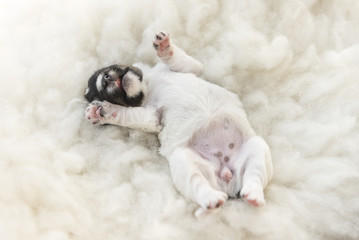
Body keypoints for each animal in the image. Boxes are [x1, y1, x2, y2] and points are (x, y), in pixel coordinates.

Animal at [86, 31, 274, 218]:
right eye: (104, 93)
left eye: (107, 70)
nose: (106, 80)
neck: (147, 87)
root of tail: (227, 178)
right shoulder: (151, 117)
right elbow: (125, 114)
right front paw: (101, 112)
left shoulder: (191, 68)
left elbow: (178, 59)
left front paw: (163, 46)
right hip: (185, 163)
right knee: (200, 185)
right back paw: (214, 199)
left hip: (256, 147)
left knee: (254, 176)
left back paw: (253, 195)